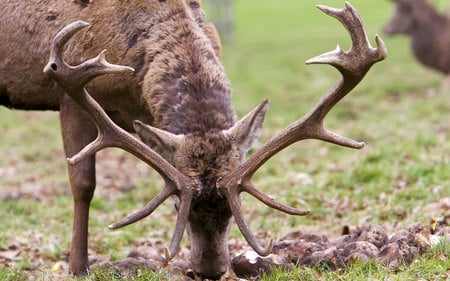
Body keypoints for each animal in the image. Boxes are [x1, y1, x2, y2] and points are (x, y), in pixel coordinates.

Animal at [1, 0, 384, 278]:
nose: (210, 272)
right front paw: (78, 267)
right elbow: (83, 183)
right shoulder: (69, 92)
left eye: (233, 209)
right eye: (176, 206)